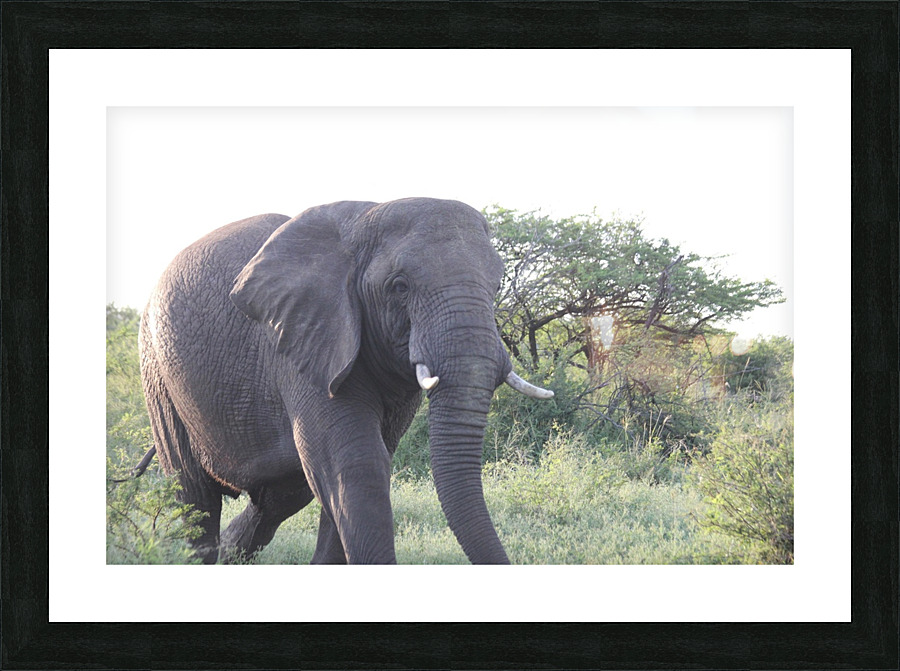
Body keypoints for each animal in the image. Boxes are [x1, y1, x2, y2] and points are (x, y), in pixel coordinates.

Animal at [138, 197, 553, 564]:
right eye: (399, 286)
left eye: (497, 286)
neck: (364, 221)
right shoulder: (300, 341)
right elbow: (356, 464)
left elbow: (352, 468)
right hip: (157, 371)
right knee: (194, 495)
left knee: (279, 497)